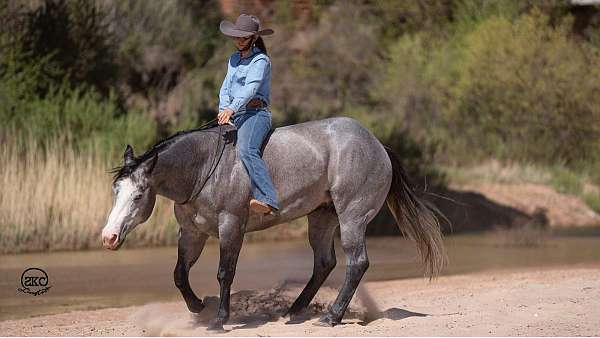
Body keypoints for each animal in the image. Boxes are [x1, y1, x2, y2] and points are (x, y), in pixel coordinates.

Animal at [99, 116, 446, 330]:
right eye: (116, 190)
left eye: (138, 195)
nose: (108, 237)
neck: (203, 169)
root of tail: (377, 145)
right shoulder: (192, 233)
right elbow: (180, 275)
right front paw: (198, 306)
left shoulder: (231, 226)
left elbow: (225, 273)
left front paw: (219, 320)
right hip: (321, 219)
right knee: (325, 263)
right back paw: (293, 311)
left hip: (352, 217)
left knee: (357, 262)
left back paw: (331, 317)